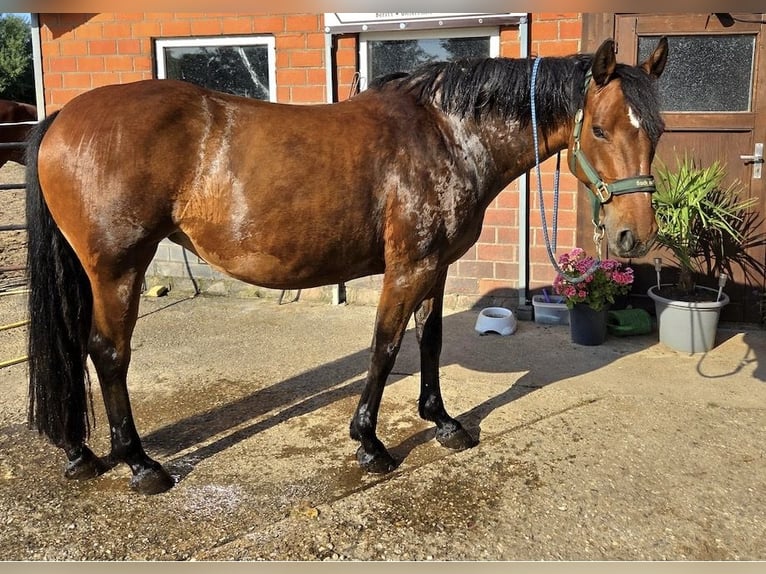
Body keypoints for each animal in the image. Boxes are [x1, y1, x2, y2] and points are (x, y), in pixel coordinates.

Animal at [25, 37, 668, 495]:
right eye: (600, 128)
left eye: (657, 131)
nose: (634, 236)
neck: (446, 135)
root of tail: (62, 118)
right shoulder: (408, 268)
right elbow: (385, 346)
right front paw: (370, 444)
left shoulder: (434, 268)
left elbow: (429, 340)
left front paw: (443, 422)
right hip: (117, 270)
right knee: (108, 353)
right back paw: (139, 464)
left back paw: (82, 454)